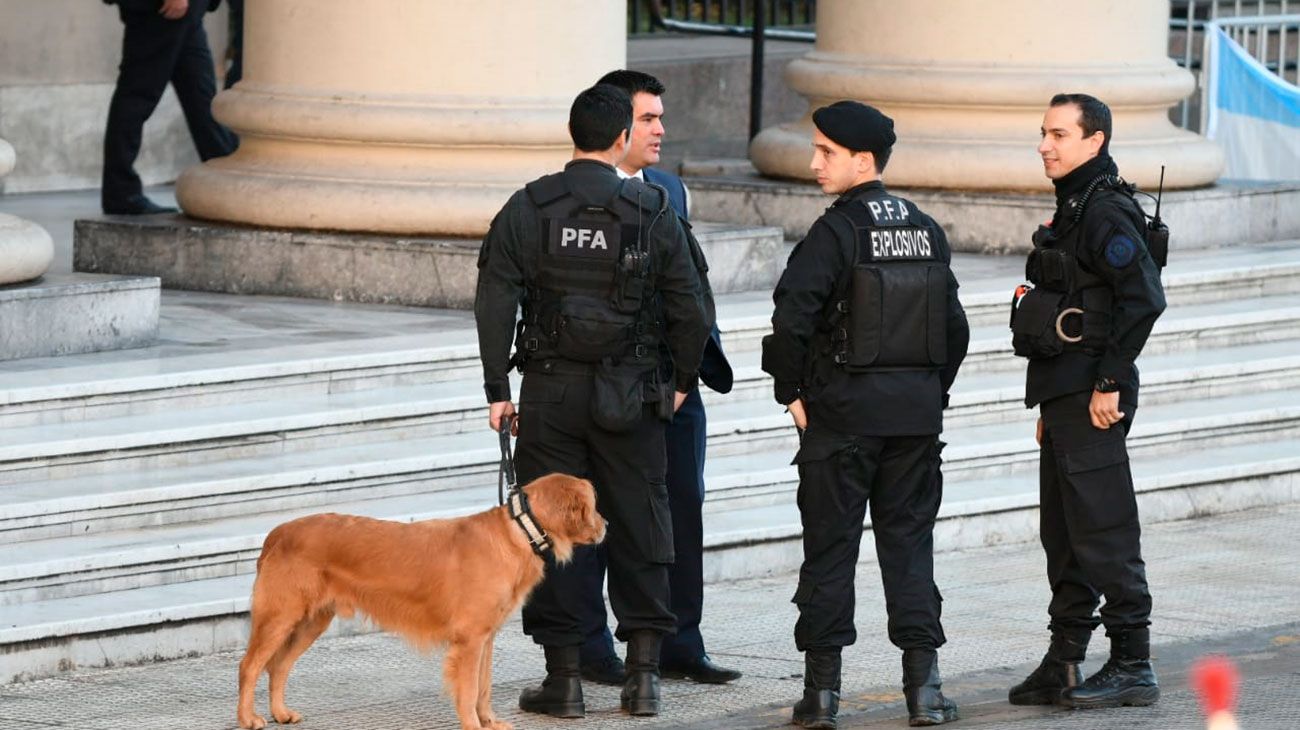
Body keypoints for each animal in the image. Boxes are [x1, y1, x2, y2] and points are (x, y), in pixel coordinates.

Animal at [235, 472, 603, 727]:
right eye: (594, 505)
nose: (607, 524)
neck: (517, 531)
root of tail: (278, 533)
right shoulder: (469, 639)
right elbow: (469, 690)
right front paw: (473, 725)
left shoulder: (485, 637)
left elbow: (483, 687)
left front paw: (489, 722)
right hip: (280, 616)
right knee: (250, 666)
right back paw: (247, 719)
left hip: (311, 620)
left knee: (279, 665)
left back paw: (281, 713)